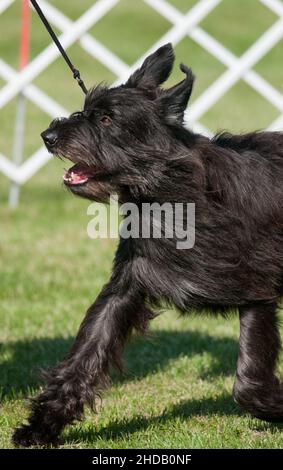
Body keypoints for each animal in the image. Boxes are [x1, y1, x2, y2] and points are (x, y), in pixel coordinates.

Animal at [12, 45, 283, 448]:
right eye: (86, 109)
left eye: (106, 118)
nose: (48, 136)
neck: (169, 194)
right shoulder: (126, 286)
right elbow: (86, 352)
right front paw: (42, 425)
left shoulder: (257, 293)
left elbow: (248, 382)